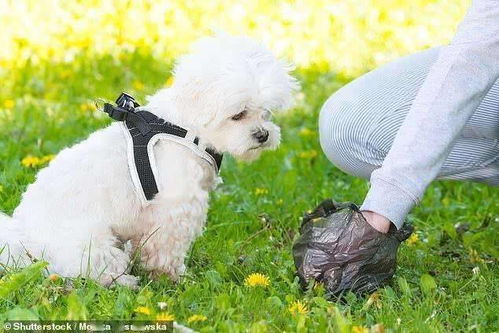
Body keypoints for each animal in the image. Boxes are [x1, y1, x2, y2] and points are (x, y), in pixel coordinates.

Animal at [0, 35, 296, 286]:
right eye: (238, 115)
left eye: (265, 112)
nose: (263, 135)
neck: (186, 127)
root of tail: (24, 238)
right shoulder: (174, 209)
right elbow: (166, 250)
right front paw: (171, 278)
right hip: (92, 245)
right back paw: (124, 281)